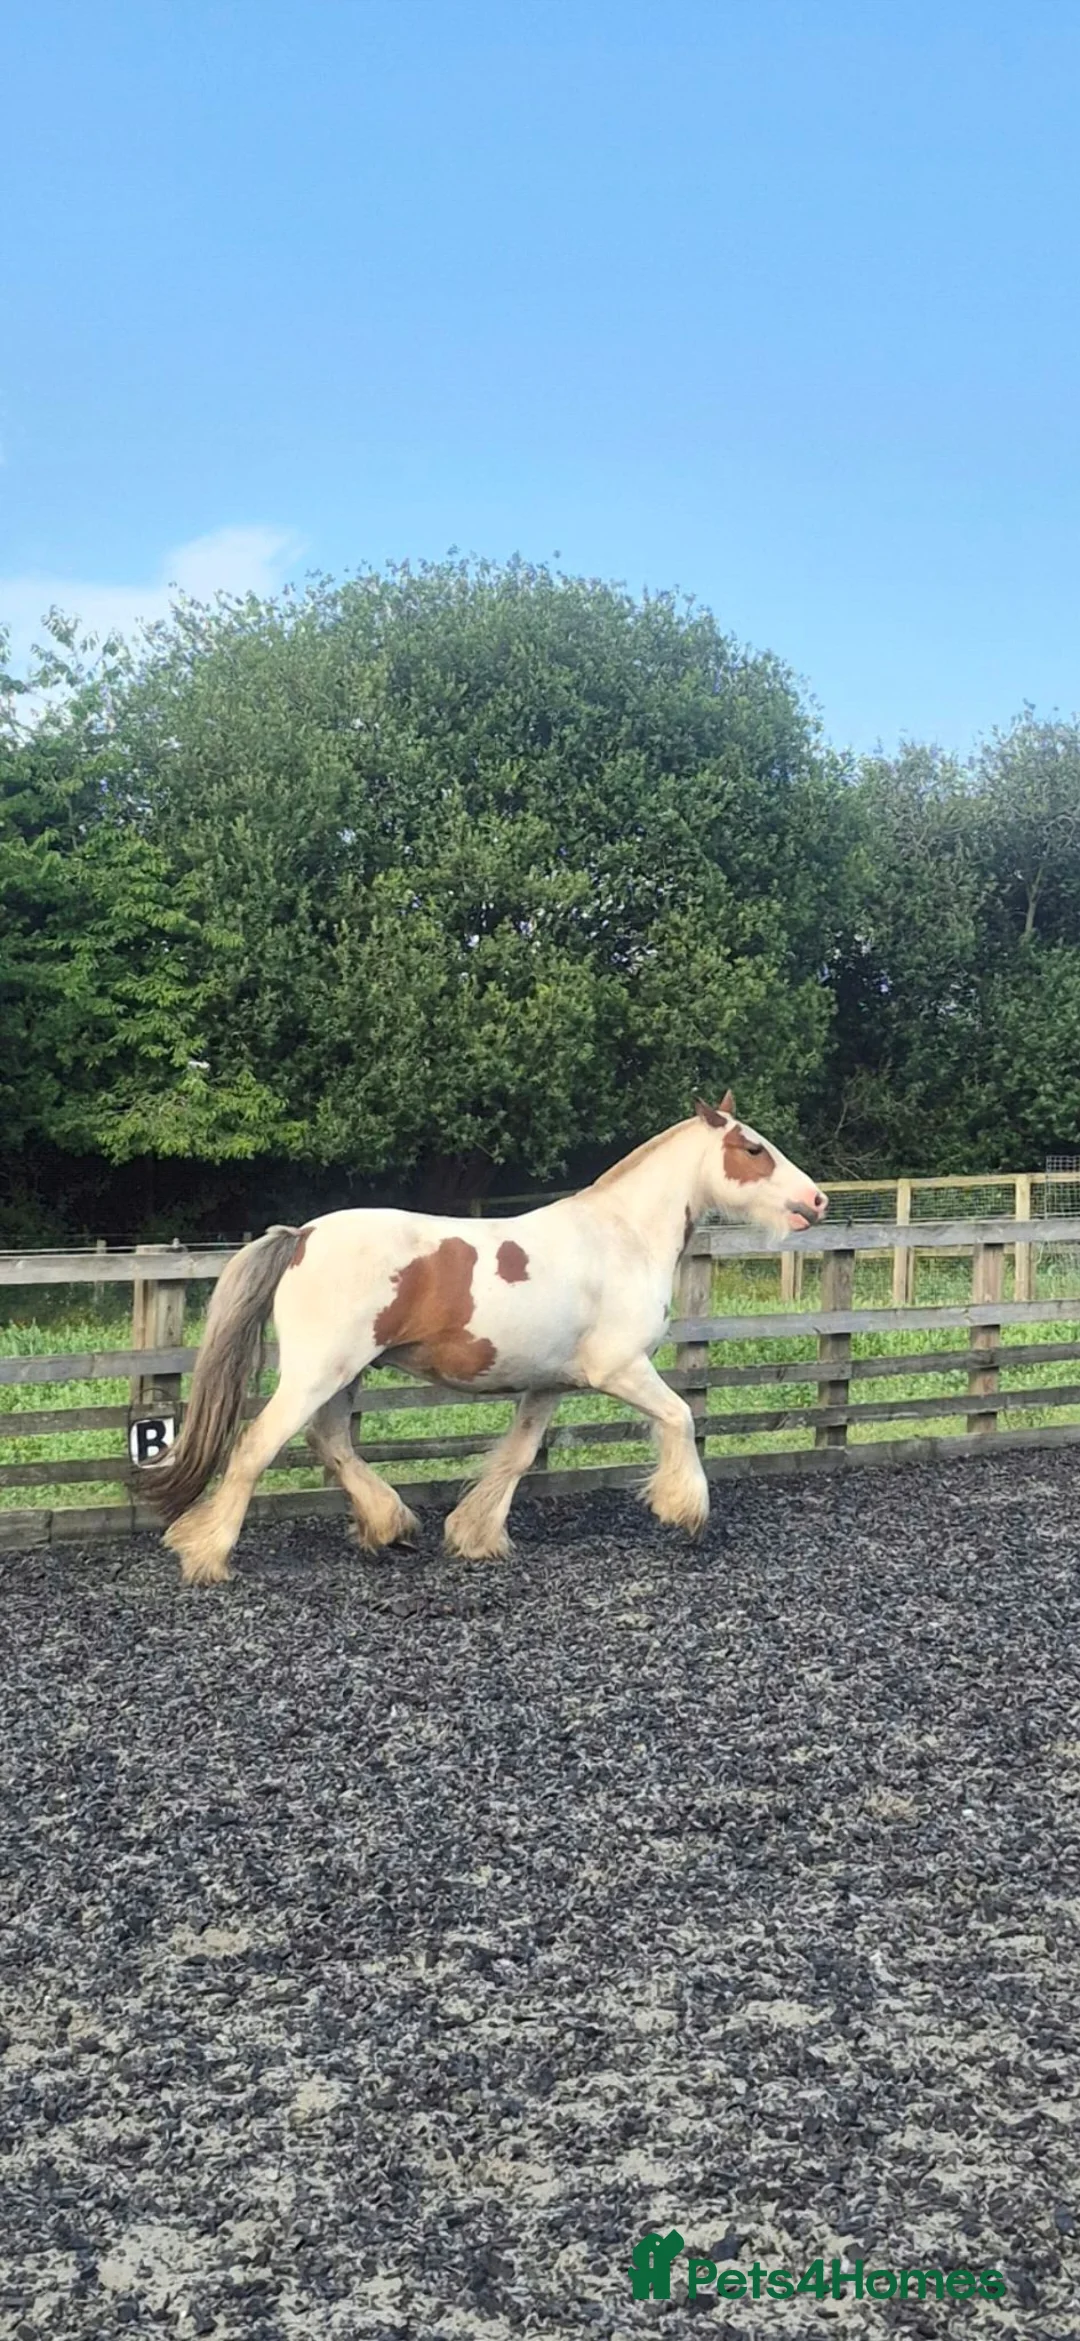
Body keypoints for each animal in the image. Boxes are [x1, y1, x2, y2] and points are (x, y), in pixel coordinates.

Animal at [144, 1094, 827, 1585]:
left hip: (345, 1375)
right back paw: (207, 1557)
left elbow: (518, 1457)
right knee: (257, 1447)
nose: (817, 1200)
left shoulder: (549, 1384)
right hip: (318, 1372)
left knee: (330, 1443)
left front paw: (476, 1536)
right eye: (752, 1148)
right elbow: (681, 1416)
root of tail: (302, 1235)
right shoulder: (621, 1369)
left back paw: (389, 1525)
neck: (621, 1239)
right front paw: (684, 1511)